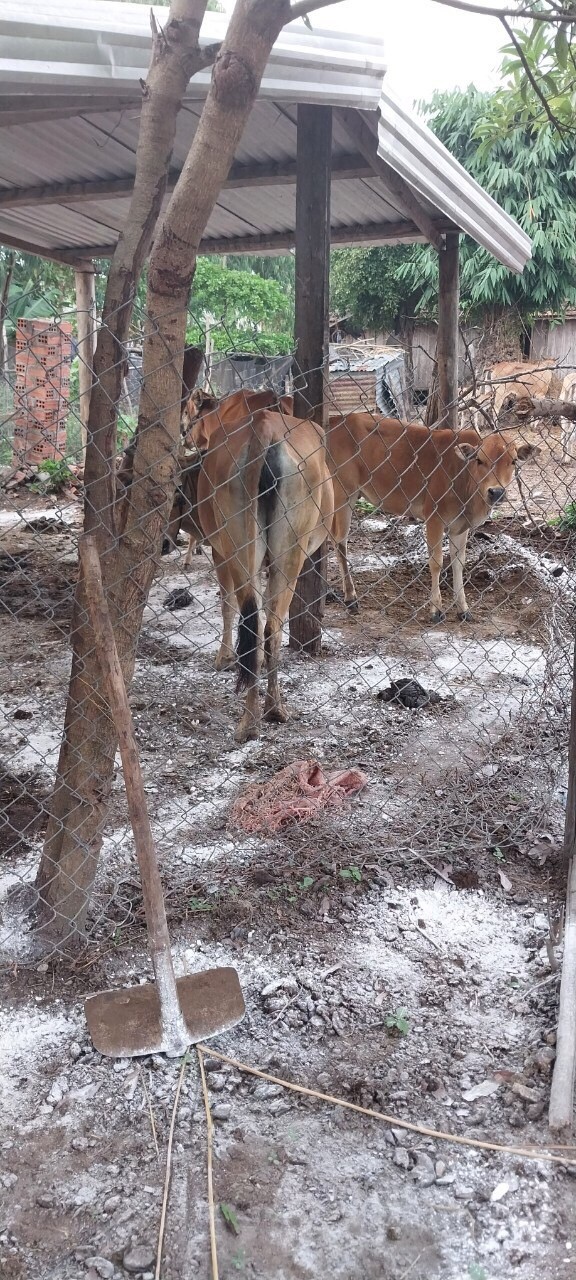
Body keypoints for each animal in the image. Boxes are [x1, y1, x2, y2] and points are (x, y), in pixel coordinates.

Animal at [327, 412, 540, 622]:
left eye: (513, 461)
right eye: (479, 460)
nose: (496, 492)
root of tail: (335, 420)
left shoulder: (460, 526)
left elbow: (458, 562)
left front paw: (463, 609)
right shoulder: (434, 518)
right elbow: (436, 562)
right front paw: (436, 609)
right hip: (343, 494)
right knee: (339, 540)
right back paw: (350, 597)